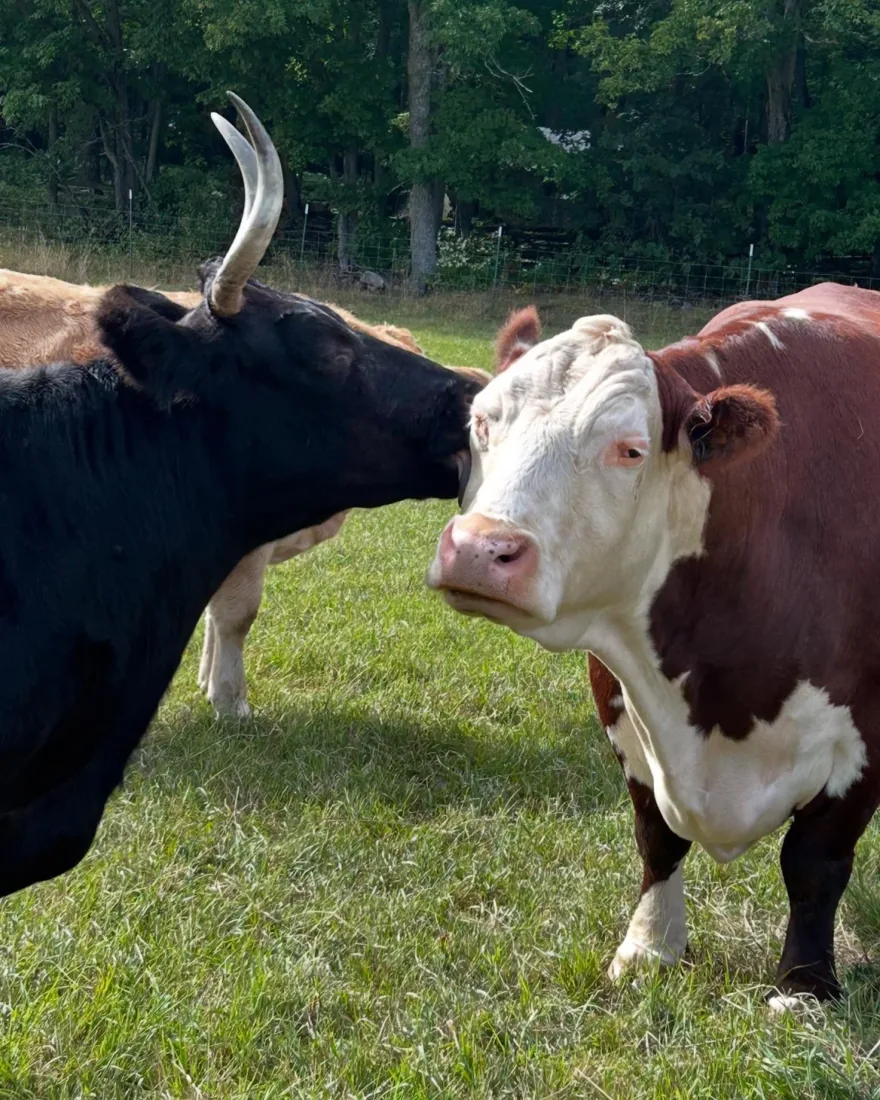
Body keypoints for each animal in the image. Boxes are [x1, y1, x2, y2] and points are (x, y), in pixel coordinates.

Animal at [428, 288, 880, 1009]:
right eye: (482, 422)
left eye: (630, 450)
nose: (476, 549)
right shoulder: (622, 703)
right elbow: (657, 837)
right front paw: (649, 946)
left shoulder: (866, 739)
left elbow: (814, 862)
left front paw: (805, 985)